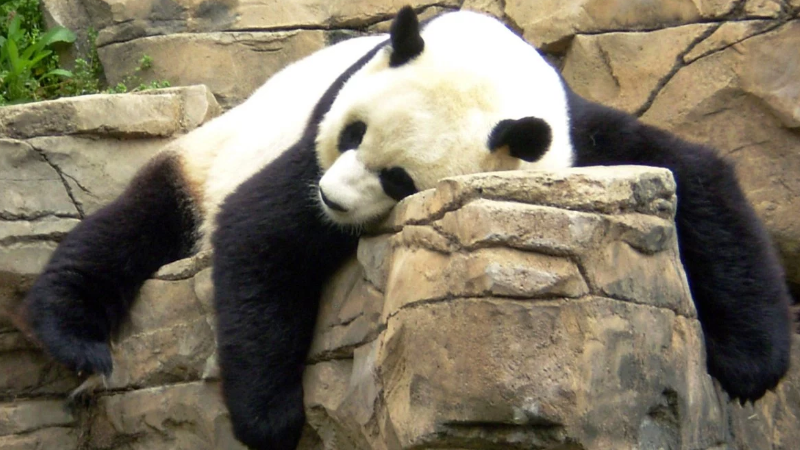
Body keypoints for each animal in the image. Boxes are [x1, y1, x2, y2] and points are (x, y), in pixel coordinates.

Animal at [23, 6, 792, 450]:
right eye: (354, 132)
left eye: (400, 179)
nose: (332, 201)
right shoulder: (310, 137)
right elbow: (260, 237)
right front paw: (272, 424)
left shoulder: (572, 129)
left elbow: (696, 177)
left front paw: (751, 363)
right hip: (211, 151)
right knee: (133, 227)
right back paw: (74, 334)